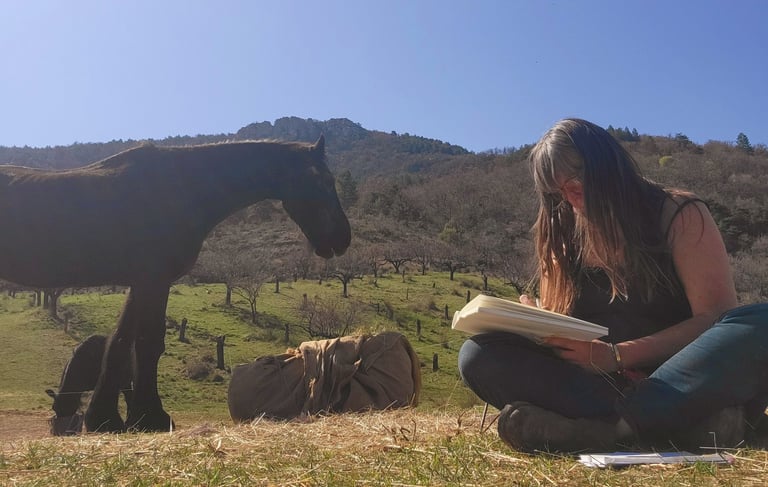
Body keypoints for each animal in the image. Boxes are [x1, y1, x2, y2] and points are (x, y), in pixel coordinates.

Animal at [0, 136, 351, 432]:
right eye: (324, 181)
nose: (342, 238)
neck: (181, 188)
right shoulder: (154, 279)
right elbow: (148, 343)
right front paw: (149, 417)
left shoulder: (142, 282)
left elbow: (121, 343)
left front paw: (107, 417)